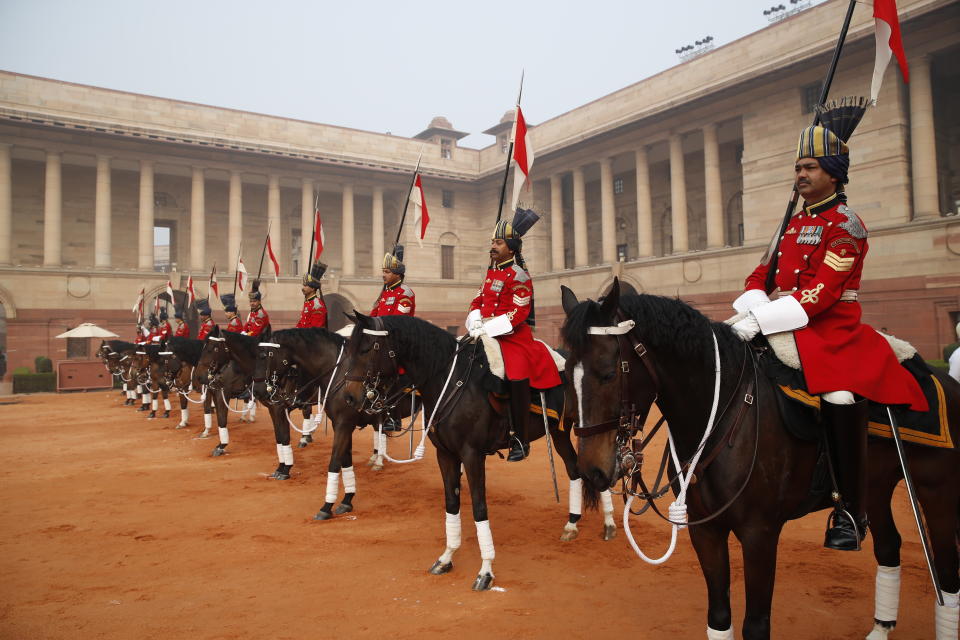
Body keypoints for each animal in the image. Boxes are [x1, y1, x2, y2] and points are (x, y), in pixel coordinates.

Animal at [344, 312, 616, 592]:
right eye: (350, 349)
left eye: (366, 349)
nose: (350, 398)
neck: (449, 381)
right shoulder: (446, 454)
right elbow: (452, 503)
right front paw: (447, 557)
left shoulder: (472, 455)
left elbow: (478, 507)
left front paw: (486, 570)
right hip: (559, 431)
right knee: (575, 470)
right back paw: (572, 523)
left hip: (589, 427)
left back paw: (608, 522)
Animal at [560, 280, 956, 640]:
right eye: (565, 375)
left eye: (608, 372)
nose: (592, 471)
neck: (721, 416)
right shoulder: (706, 530)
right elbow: (719, 618)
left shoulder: (760, 534)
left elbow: (755, 626)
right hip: (873, 484)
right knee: (889, 547)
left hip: (935, 489)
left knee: (948, 572)